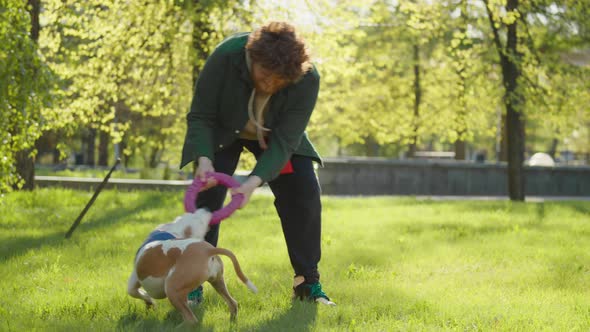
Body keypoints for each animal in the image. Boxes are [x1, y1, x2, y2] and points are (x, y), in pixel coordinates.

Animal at [126, 209, 258, 326]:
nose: (207, 209)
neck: (175, 229)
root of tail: (208, 250)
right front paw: (149, 303)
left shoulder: (135, 279)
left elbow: (133, 291)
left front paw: (149, 301)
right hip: (217, 282)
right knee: (233, 303)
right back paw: (232, 322)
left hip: (172, 289)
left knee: (191, 319)